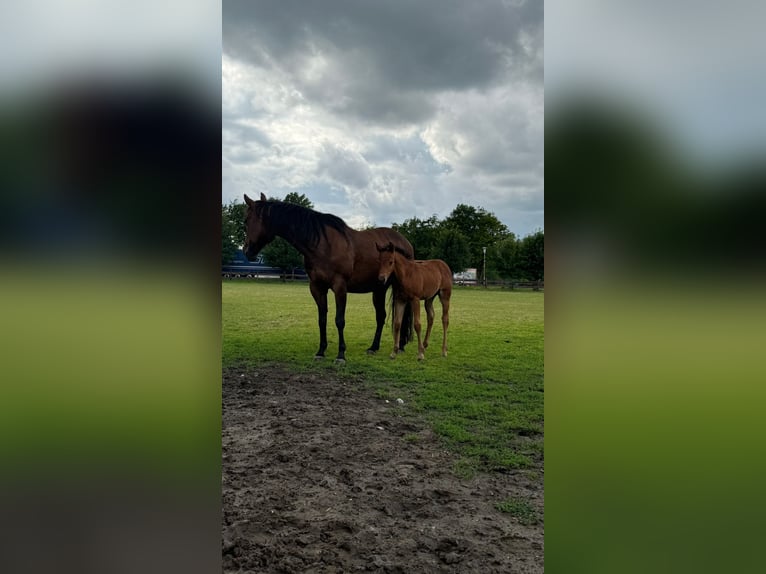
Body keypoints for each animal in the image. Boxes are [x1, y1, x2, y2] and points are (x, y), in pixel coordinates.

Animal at [243, 193, 414, 363]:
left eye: (246, 220)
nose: (246, 251)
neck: (322, 245)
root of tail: (405, 243)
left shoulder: (340, 287)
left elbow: (340, 320)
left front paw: (341, 355)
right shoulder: (317, 287)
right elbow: (322, 319)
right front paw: (321, 351)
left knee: (401, 315)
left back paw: (399, 347)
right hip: (379, 289)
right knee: (381, 316)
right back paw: (375, 347)